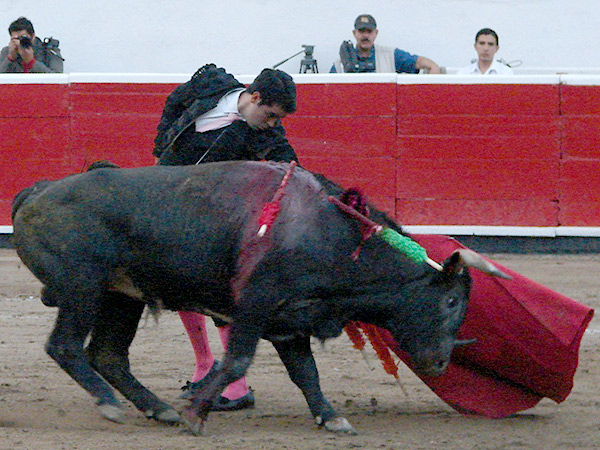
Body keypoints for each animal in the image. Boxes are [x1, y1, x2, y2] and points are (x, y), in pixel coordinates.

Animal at [10, 160, 506, 434]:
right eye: (450, 303)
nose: (440, 362)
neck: (334, 235)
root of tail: (39, 191)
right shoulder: (255, 304)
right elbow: (238, 359)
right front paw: (196, 413)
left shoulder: (291, 323)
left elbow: (307, 374)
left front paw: (330, 417)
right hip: (83, 287)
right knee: (66, 346)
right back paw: (112, 405)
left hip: (122, 296)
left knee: (108, 354)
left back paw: (157, 408)